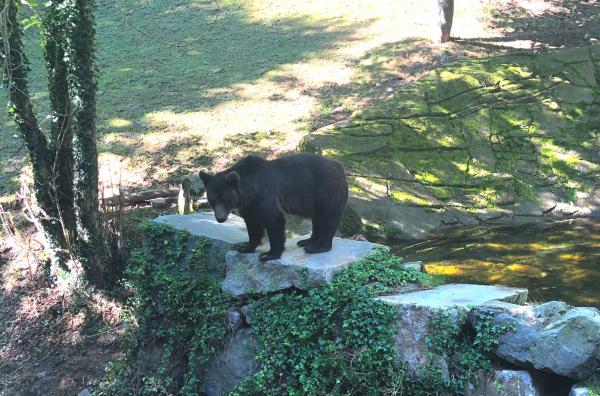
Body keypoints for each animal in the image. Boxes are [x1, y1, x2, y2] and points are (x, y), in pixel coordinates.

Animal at [200, 153, 350, 262]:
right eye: (212, 200)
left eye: (225, 200)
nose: (220, 218)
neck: (251, 189)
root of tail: (340, 167)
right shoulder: (249, 205)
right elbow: (252, 225)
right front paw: (244, 247)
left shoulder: (265, 193)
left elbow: (274, 219)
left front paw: (269, 254)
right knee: (317, 218)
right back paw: (307, 241)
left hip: (327, 189)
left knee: (328, 217)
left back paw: (317, 247)